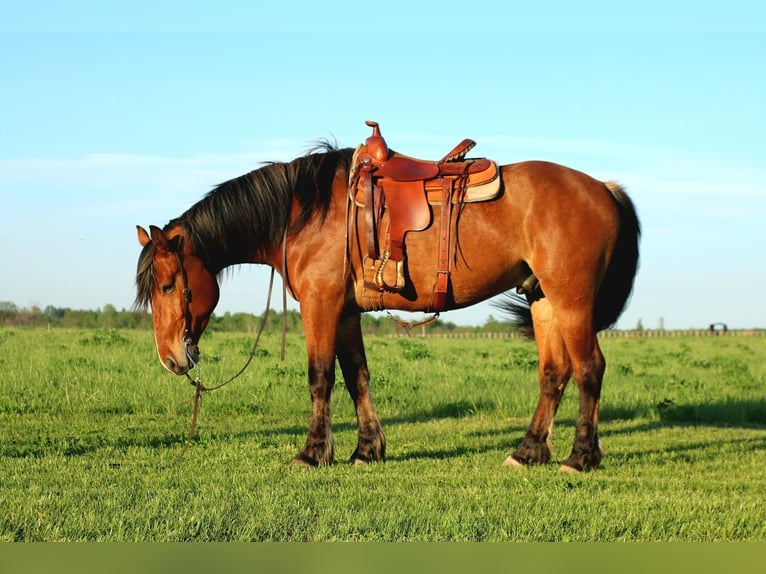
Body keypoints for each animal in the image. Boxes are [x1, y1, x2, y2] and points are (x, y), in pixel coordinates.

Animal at [135, 133, 640, 473]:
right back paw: (528, 452)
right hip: (543, 301)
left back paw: (580, 457)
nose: (169, 358)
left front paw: (312, 453)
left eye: (167, 286)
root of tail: (603, 188)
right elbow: (356, 376)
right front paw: (366, 450)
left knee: (590, 369)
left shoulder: (321, 305)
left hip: (572, 302)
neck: (303, 213)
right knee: (554, 374)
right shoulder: (345, 312)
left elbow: (320, 378)